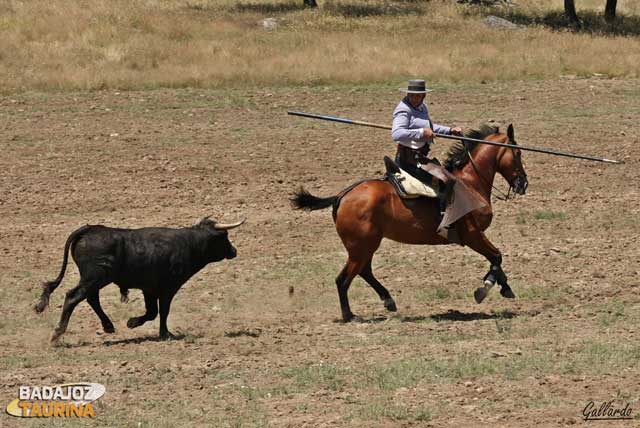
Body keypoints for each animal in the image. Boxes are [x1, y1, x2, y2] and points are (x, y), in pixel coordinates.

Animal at [35, 217, 245, 342]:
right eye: (224, 236)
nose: (234, 251)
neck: (189, 244)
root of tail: (89, 230)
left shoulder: (149, 289)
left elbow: (152, 312)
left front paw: (133, 323)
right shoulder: (168, 288)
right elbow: (162, 311)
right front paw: (164, 334)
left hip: (95, 280)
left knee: (91, 299)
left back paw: (108, 326)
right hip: (94, 278)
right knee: (73, 297)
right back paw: (57, 334)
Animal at [292, 123, 528, 320]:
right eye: (517, 152)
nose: (523, 184)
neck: (470, 184)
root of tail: (342, 195)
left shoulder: (475, 236)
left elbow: (496, 259)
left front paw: (504, 287)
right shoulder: (473, 235)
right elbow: (496, 256)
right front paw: (484, 289)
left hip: (365, 246)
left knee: (364, 271)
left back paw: (388, 300)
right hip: (361, 247)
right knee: (344, 279)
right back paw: (350, 315)